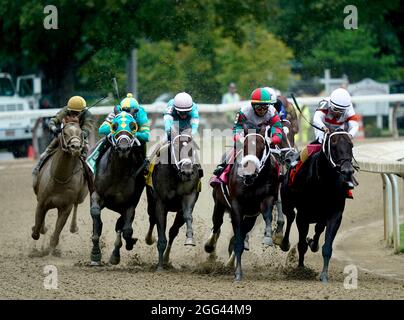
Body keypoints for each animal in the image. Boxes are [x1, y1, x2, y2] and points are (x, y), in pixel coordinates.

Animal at [32, 120, 88, 255]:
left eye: (81, 133)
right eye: (65, 133)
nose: (75, 147)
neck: (60, 178)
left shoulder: (65, 208)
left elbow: (57, 230)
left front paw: (51, 249)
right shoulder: (42, 202)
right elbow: (37, 226)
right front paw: (38, 229)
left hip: (81, 196)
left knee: (76, 204)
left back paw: (73, 227)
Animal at [89, 112, 146, 264]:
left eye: (133, 126)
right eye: (114, 126)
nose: (123, 148)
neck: (118, 172)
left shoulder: (129, 204)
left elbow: (126, 230)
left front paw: (127, 244)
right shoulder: (97, 193)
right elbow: (95, 213)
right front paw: (95, 253)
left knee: (120, 225)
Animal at [204, 124, 280, 280]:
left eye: (262, 146)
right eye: (244, 145)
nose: (249, 171)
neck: (252, 181)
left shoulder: (264, 201)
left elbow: (267, 215)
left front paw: (268, 237)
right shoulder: (236, 207)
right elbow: (237, 239)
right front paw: (238, 273)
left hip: (250, 217)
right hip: (219, 202)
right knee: (217, 225)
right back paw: (210, 247)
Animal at [280, 129, 356, 282]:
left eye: (351, 145)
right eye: (333, 145)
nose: (347, 171)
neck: (323, 183)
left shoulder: (335, 214)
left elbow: (326, 246)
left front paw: (324, 274)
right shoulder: (303, 215)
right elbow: (301, 244)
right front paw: (301, 269)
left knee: (318, 228)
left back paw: (313, 243)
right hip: (287, 202)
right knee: (290, 217)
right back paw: (285, 243)